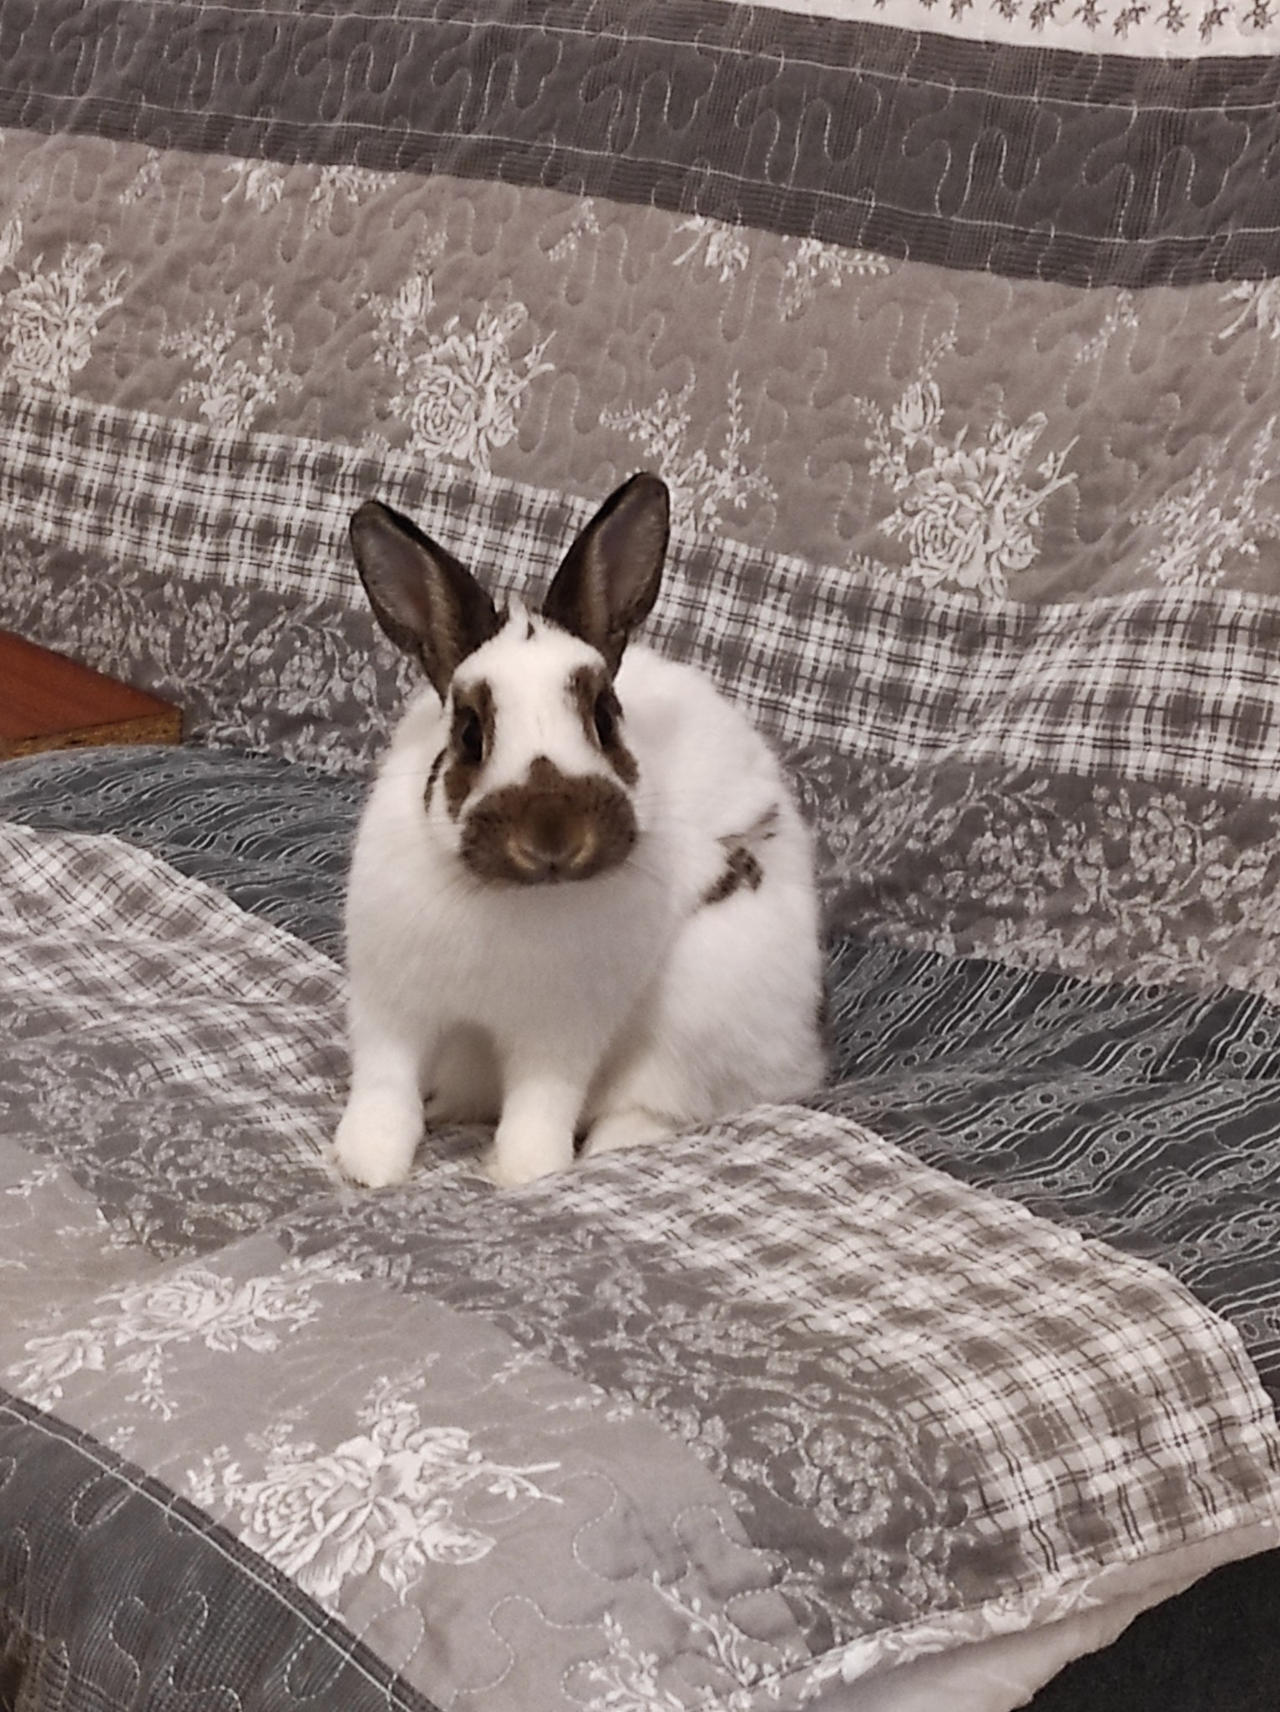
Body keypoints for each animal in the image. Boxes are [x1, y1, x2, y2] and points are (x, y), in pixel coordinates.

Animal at [333, 472, 825, 1190]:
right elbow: (383, 1085)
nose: (554, 837)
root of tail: (804, 1056)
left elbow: (542, 1101)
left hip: (705, 1006)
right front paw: (367, 1167)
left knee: (663, 1102)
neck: (512, 899)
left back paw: (612, 1146)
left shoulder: (560, 1030)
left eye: (606, 718)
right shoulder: (391, 1003)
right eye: (470, 733)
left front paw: (522, 1173)